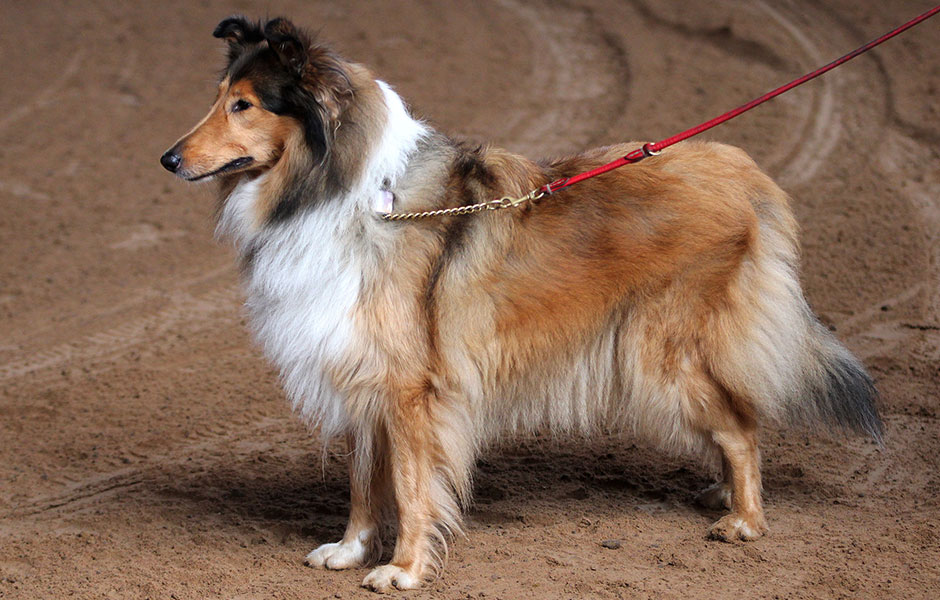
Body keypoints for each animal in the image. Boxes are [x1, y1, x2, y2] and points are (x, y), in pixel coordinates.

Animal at [158, 16, 884, 592]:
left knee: (742, 426)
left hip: (658, 355)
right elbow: (366, 480)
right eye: (219, 98)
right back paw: (721, 494)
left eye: (245, 105)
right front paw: (350, 549)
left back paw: (744, 520)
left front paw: (404, 569)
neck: (342, 190)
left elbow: (413, 488)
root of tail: (746, 174)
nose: (167, 159)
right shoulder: (365, 370)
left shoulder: (412, 390)